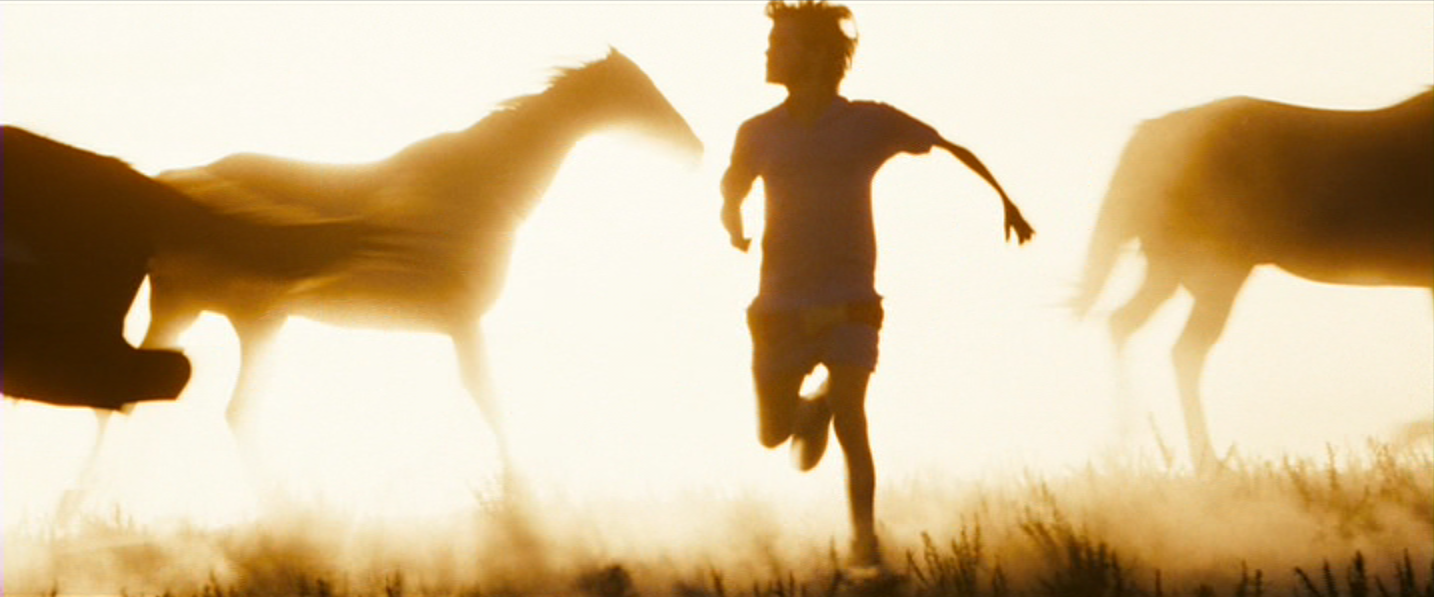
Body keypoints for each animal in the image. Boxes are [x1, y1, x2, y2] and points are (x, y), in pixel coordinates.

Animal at [134, 48, 704, 481]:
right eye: (640, 89)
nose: (695, 146)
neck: (479, 186)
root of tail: (167, 184)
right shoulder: (464, 323)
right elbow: (490, 402)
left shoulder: (460, 326)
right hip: (244, 321)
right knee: (228, 412)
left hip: (200, 314)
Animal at [1071, 89, 1433, 472]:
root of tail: (1151, 135)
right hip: (1216, 273)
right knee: (1185, 350)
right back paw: (1207, 463)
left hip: (1170, 270)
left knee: (1123, 322)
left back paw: (1126, 446)